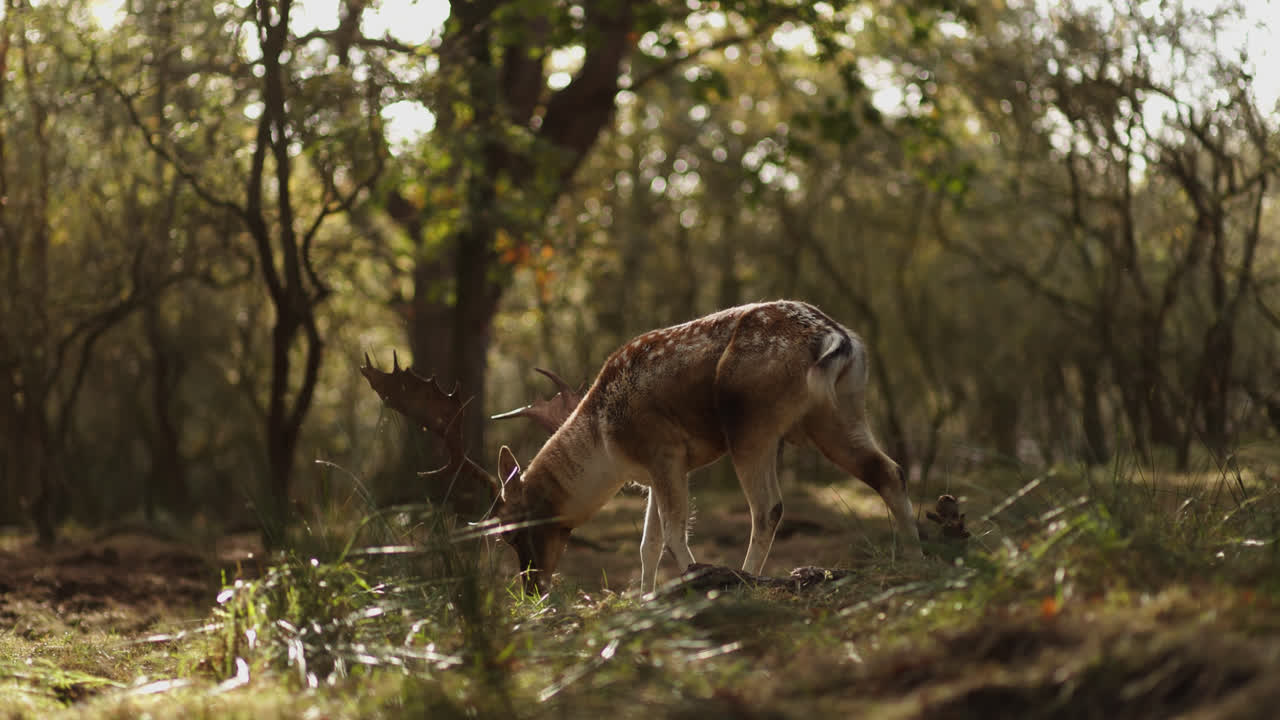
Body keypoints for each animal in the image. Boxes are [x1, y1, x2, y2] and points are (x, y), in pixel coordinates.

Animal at [362, 300, 922, 595]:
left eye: (511, 533)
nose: (531, 587)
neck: (608, 446)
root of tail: (836, 338)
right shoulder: (654, 472)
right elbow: (647, 542)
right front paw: (646, 595)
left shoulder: (666, 451)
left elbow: (673, 534)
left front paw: (691, 580)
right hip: (836, 412)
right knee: (889, 470)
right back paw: (920, 554)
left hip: (753, 424)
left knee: (768, 508)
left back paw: (749, 577)